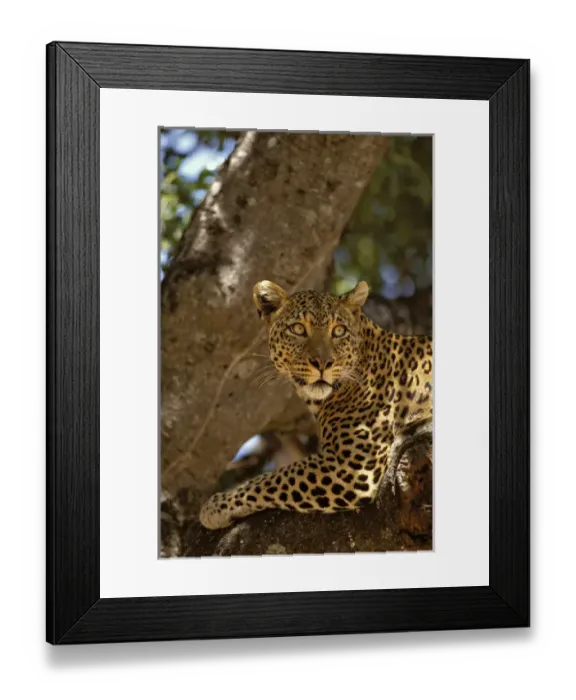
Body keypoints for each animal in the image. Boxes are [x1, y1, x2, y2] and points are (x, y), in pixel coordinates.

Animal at [199, 279, 433, 530]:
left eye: (338, 331)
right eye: (298, 329)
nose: (323, 363)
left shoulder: (353, 465)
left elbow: (276, 478)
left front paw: (216, 506)